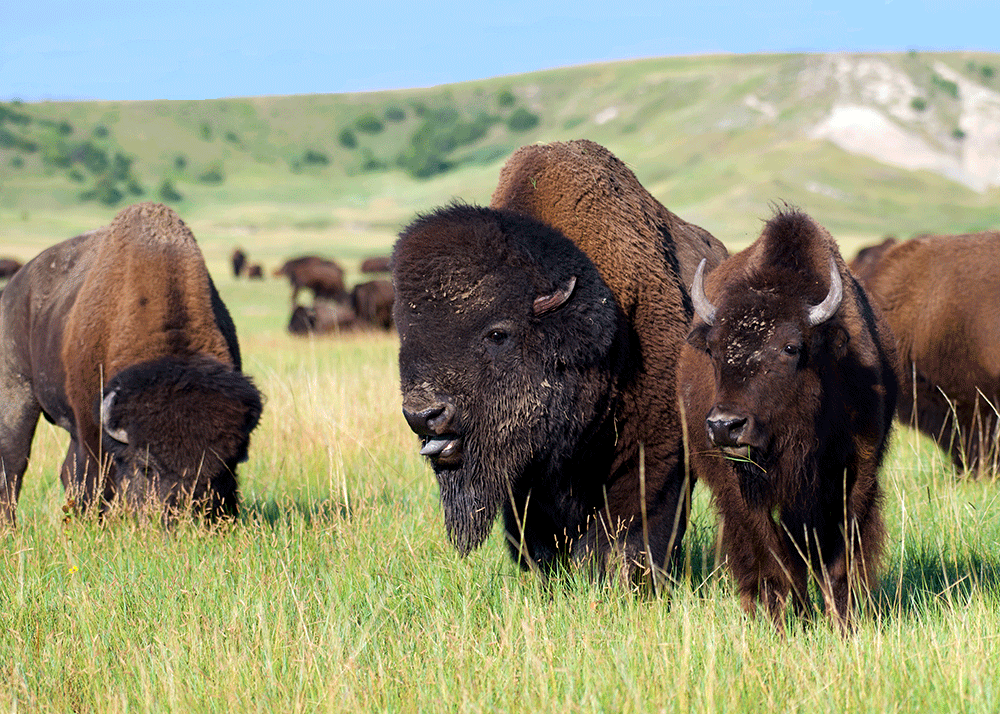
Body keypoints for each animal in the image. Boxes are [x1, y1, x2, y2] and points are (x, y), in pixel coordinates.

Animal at [0, 200, 264, 524]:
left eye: (224, 467)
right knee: (14, 465)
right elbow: (94, 476)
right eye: (146, 467)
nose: (181, 519)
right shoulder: (91, 427)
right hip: (17, 392)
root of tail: (14, 289)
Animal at [394, 140, 732, 584]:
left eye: (498, 334)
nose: (423, 414)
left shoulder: (652, 456)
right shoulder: (524, 483)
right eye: (406, 335)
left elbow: (626, 537)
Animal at [680, 207, 900, 628]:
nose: (725, 426)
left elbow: (840, 557)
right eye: (713, 349)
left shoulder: (856, 473)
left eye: (790, 347)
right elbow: (773, 554)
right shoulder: (742, 487)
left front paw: (843, 623)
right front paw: (787, 620)